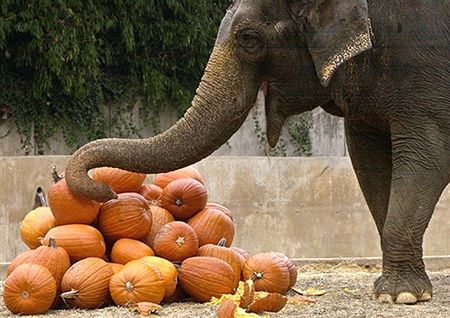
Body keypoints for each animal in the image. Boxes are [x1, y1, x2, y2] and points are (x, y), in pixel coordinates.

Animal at [65, 0, 448, 304]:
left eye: (248, 39)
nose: (107, 190)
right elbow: (371, 161)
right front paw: (394, 291)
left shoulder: (423, 60)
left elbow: (428, 157)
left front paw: (400, 296)